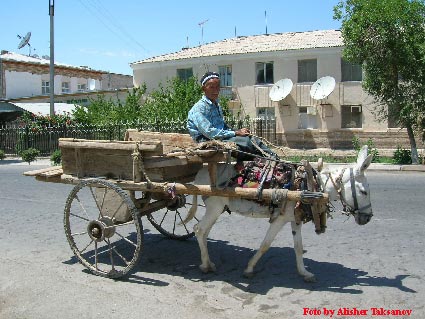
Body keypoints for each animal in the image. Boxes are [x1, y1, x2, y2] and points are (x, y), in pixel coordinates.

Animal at [184, 146, 372, 282]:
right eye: (363, 191)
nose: (368, 218)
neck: (309, 187)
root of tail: (200, 173)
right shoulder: (279, 219)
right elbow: (265, 245)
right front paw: (249, 269)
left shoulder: (295, 219)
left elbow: (298, 247)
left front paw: (304, 273)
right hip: (215, 207)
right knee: (199, 229)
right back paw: (206, 265)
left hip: (217, 209)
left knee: (204, 232)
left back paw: (207, 262)